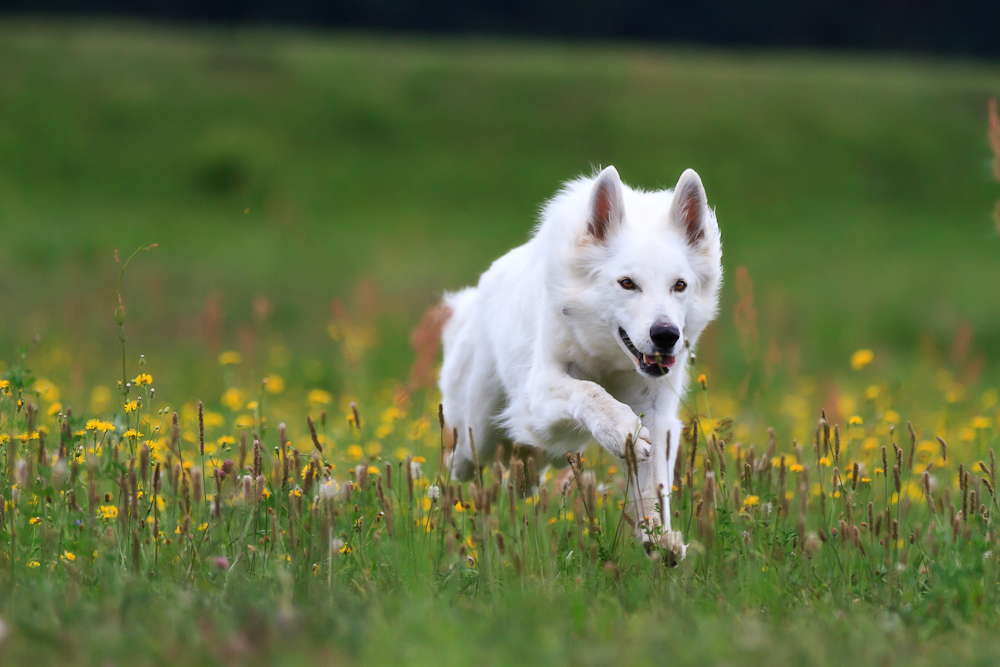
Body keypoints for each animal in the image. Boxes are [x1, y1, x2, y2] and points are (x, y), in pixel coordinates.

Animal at [442, 167, 724, 552]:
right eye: (627, 283)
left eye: (679, 285)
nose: (666, 335)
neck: (609, 356)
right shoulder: (538, 392)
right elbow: (588, 391)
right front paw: (622, 431)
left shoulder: (656, 411)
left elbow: (653, 484)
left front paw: (659, 536)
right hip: (476, 434)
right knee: (458, 464)